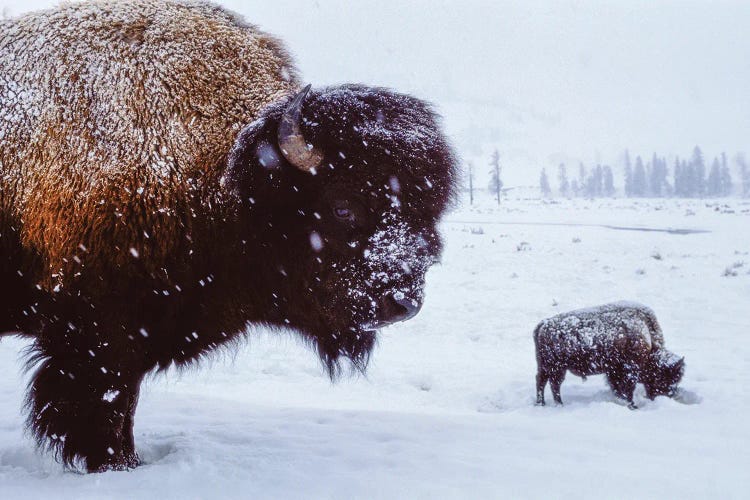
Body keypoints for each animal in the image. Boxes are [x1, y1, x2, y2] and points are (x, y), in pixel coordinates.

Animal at [0, 0, 458, 470]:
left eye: (429, 211)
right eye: (343, 206)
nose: (403, 302)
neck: (225, 172)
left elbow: (124, 402)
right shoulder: (99, 334)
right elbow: (104, 403)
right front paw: (118, 464)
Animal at [536, 302, 688, 408]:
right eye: (666, 377)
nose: (669, 395)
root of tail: (544, 324)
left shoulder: (614, 371)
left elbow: (618, 388)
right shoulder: (629, 370)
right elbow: (628, 388)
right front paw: (632, 405)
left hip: (549, 367)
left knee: (544, 382)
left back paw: (543, 403)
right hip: (555, 367)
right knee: (551, 384)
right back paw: (556, 404)